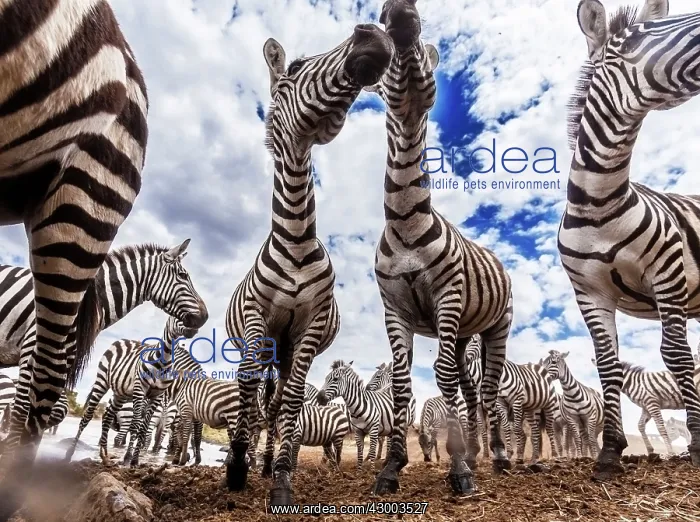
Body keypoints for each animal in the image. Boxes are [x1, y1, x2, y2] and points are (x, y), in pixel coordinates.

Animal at [64, 317, 200, 465]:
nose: (189, 458)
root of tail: (122, 340)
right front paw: (128, 456)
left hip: (123, 398)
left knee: (110, 422)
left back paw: (106, 456)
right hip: (104, 382)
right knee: (91, 418)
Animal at [222, 25, 393, 507]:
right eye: (295, 68)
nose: (374, 34)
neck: (297, 237)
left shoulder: (309, 324)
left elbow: (294, 399)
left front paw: (280, 477)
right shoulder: (258, 314)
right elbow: (246, 382)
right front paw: (236, 466)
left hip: (285, 348)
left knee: (278, 399)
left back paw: (267, 465)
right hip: (266, 342)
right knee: (256, 391)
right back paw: (248, 461)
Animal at [365, 0, 511, 496]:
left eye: (429, 67)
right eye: (387, 61)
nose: (399, 12)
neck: (407, 222)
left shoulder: (447, 294)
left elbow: (443, 375)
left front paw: (460, 467)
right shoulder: (394, 308)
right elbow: (401, 386)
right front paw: (391, 467)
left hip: (497, 325)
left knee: (484, 389)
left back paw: (498, 457)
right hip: (466, 329)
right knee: (469, 389)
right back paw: (478, 450)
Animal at [557, 0, 700, 479]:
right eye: (634, 40)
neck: (599, 202)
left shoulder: (667, 273)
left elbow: (677, 354)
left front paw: (698, 444)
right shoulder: (590, 292)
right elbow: (608, 365)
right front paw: (610, 451)